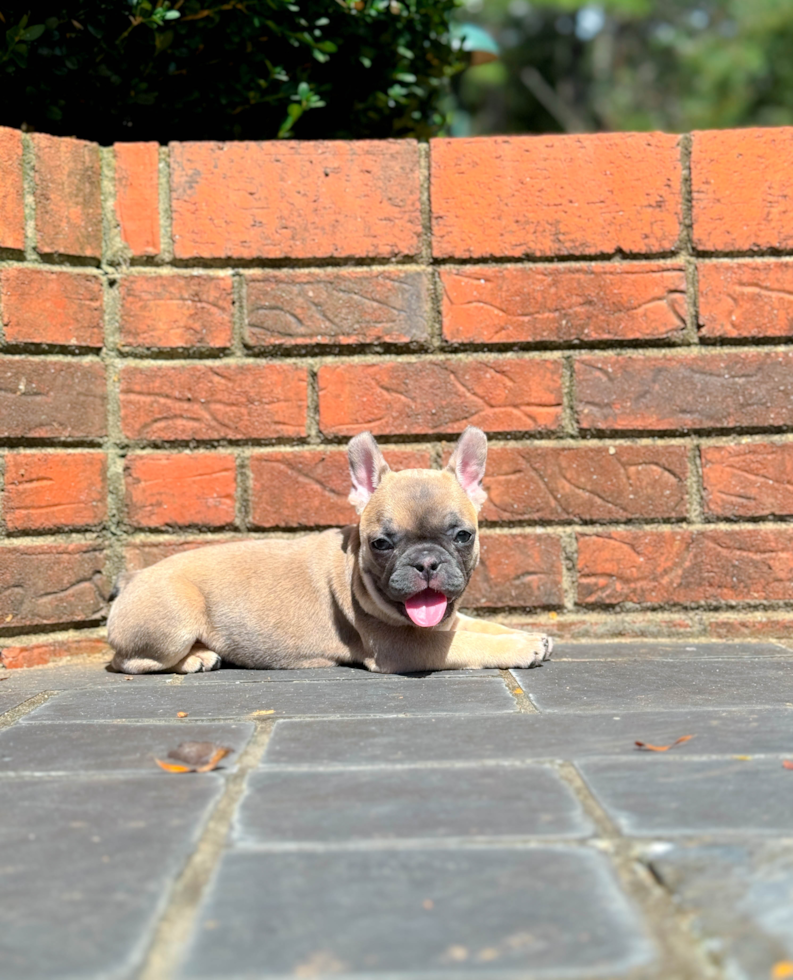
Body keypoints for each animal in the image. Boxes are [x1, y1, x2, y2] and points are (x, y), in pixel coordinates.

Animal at [106, 428, 552, 672]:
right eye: (381, 544)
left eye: (462, 536)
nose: (426, 562)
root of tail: (133, 579)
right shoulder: (404, 647)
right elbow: (468, 642)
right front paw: (520, 646)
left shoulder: (444, 620)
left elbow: (479, 625)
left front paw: (527, 634)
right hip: (175, 620)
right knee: (128, 661)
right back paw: (194, 658)